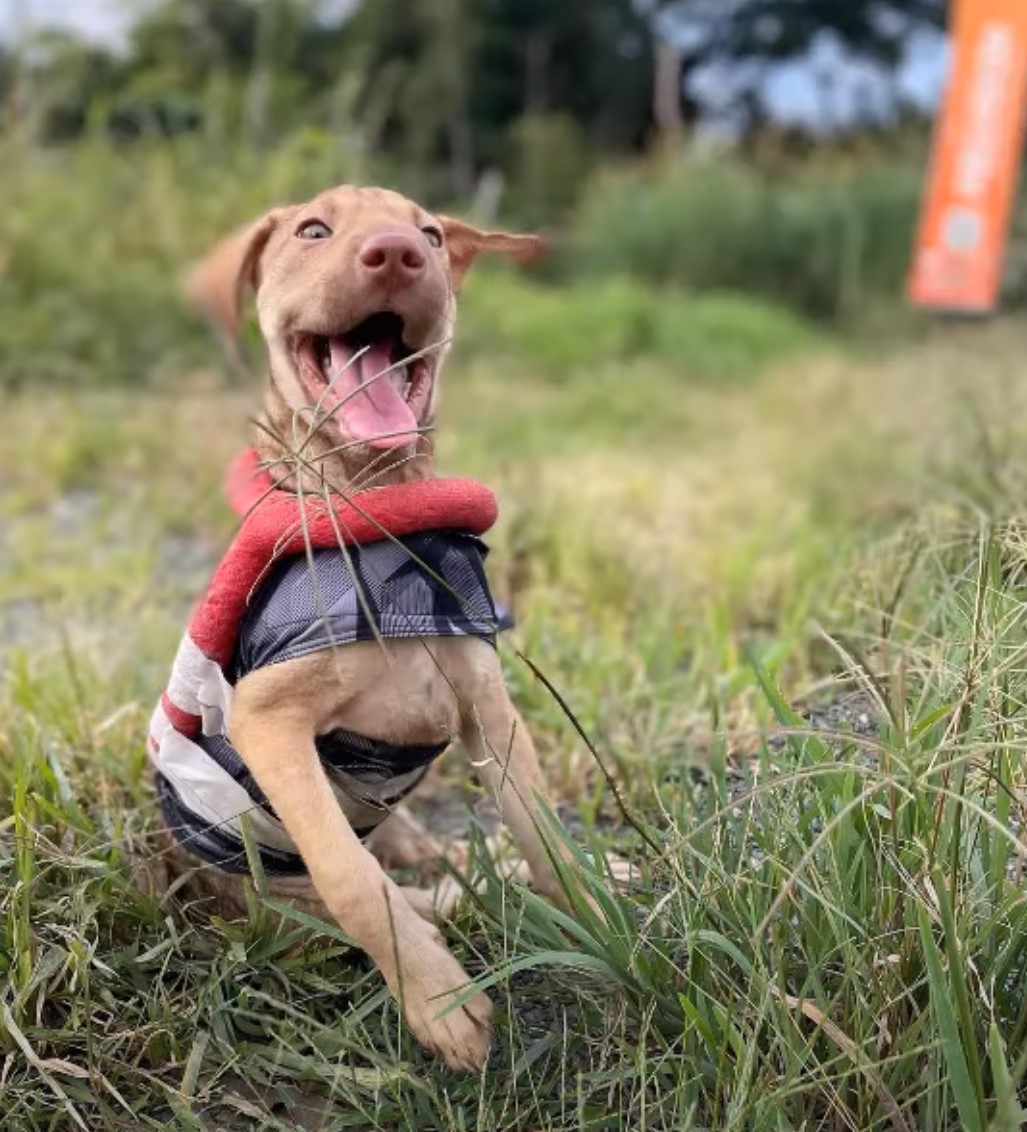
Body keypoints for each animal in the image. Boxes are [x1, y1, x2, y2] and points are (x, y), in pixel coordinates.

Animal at [143, 185, 615, 1068]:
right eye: (312, 231)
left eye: (430, 235)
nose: (397, 252)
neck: (377, 516)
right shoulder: (268, 721)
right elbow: (351, 878)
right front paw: (439, 1000)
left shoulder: (490, 712)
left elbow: (544, 837)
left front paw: (610, 927)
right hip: (272, 896)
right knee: (395, 887)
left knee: (424, 853)